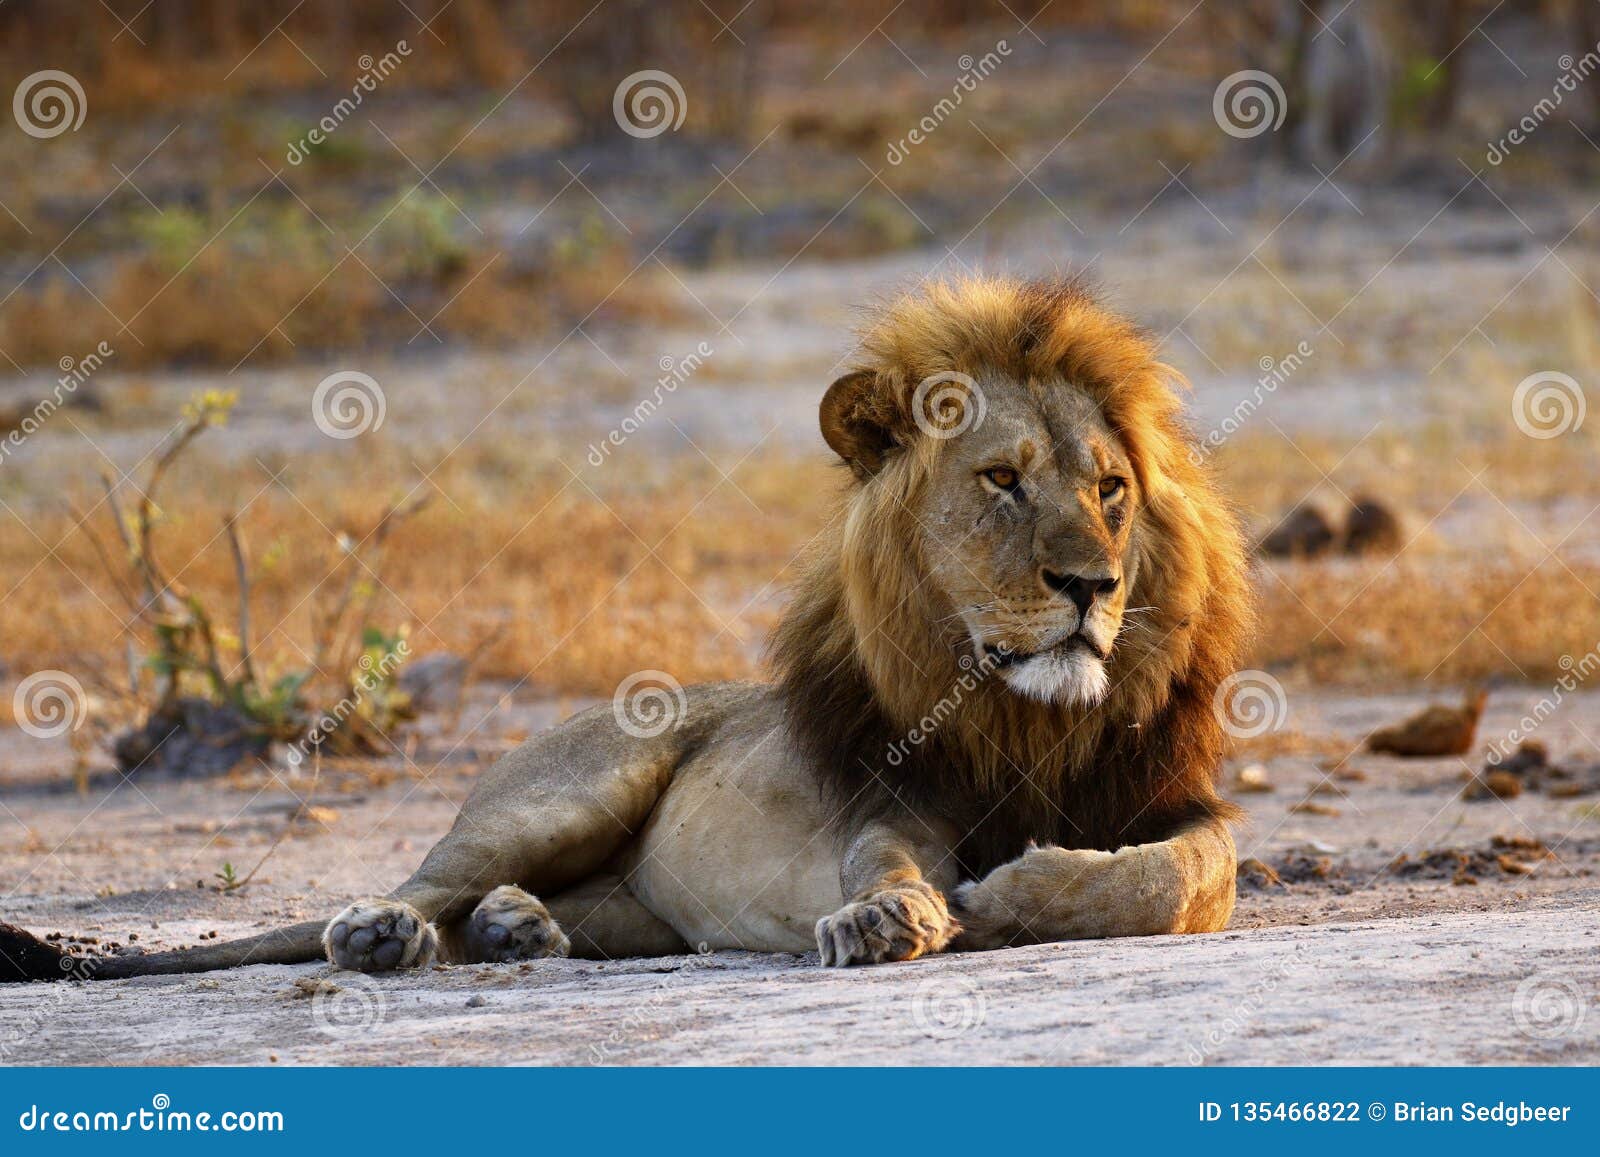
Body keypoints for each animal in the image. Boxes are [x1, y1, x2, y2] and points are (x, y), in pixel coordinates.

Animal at [0, 276, 1248, 979]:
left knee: (528, 909)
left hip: (629, 900)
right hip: (567, 794)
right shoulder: (889, 797)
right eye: (1000, 479)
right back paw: (385, 935)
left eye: (1110, 490)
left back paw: (514, 932)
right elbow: (890, 862)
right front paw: (897, 913)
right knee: (423, 879)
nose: (1090, 584)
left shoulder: (1174, 807)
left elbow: (1174, 876)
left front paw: (1010, 895)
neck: (1025, 717)